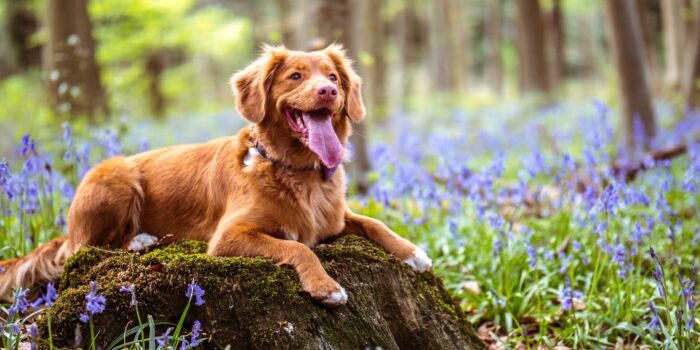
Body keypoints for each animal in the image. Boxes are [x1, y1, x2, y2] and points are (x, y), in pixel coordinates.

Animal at [0, 43, 432, 306]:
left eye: (333, 77)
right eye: (295, 76)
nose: (328, 91)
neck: (297, 172)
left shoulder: (336, 218)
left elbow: (374, 222)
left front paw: (413, 252)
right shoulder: (228, 237)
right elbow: (299, 248)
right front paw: (326, 286)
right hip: (116, 176)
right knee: (86, 248)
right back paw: (140, 240)